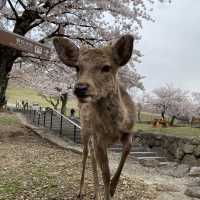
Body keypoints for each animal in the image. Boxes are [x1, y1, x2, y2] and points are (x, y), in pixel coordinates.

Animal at [53, 34, 136, 200]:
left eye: (106, 67)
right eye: (77, 67)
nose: (80, 87)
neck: (113, 128)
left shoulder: (129, 131)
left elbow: (127, 150)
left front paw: (113, 188)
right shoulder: (99, 137)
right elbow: (106, 173)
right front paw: (108, 192)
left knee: (92, 156)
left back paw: (96, 193)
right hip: (85, 130)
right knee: (86, 154)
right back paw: (81, 191)